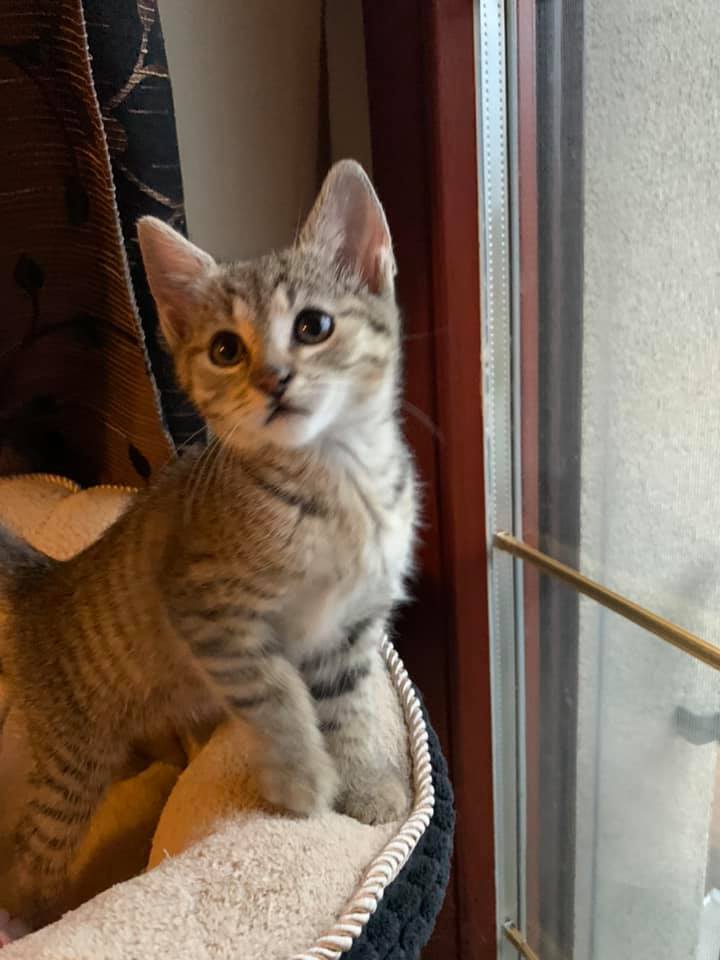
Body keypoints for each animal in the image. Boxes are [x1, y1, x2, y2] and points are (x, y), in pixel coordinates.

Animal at [0, 159, 417, 928]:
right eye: (226, 349)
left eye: (313, 326)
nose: (273, 379)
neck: (339, 485)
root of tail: (48, 579)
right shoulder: (209, 615)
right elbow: (279, 695)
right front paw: (302, 781)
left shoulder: (350, 628)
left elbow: (347, 708)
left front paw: (366, 790)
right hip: (70, 769)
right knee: (30, 858)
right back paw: (30, 922)